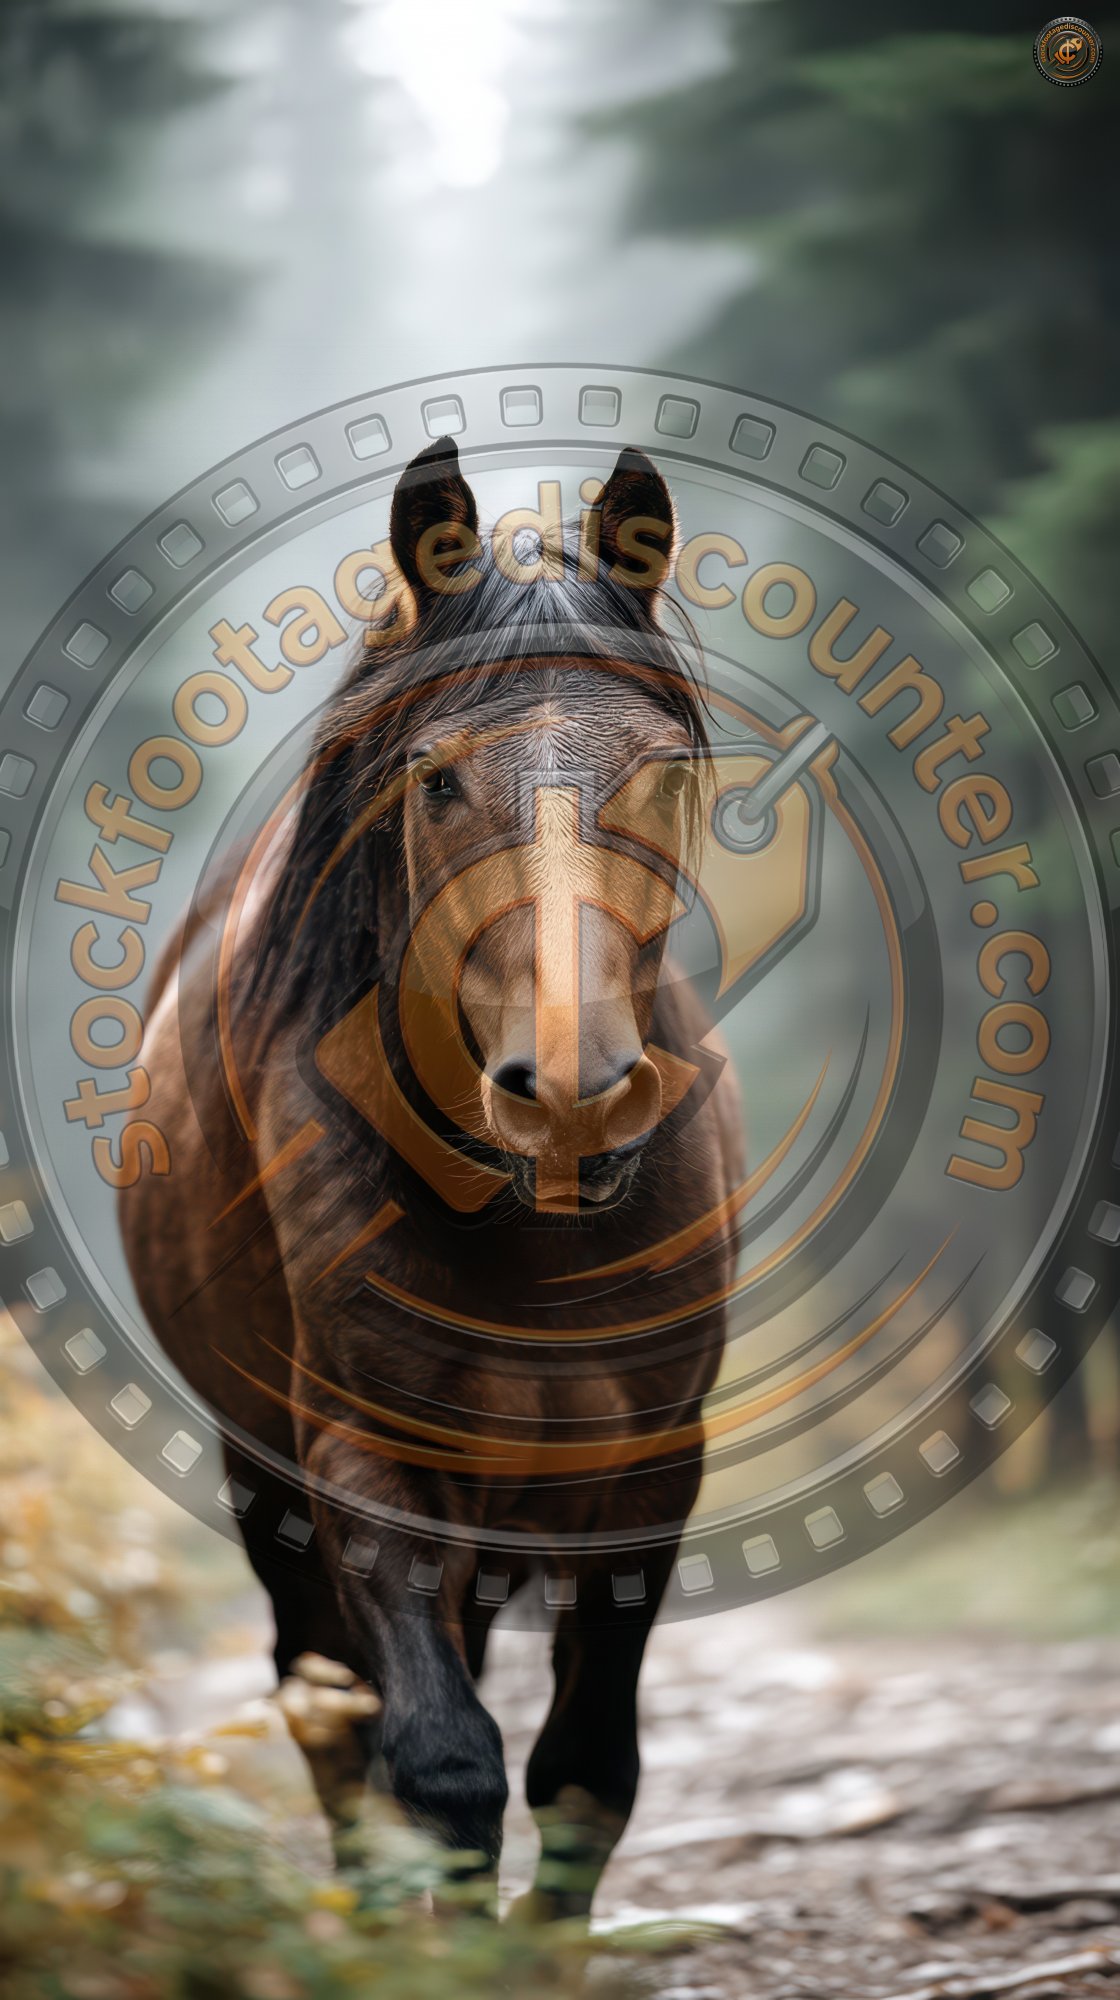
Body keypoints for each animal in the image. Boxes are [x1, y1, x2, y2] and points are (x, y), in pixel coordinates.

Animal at [120, 436, 743, 1917]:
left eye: (663, 772)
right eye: (437, 780)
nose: (574, 1099)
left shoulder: (651, 1468)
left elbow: (586, 1766)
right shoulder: (367, 1459)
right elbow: (442, 1759)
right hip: (268, 1477)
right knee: (326, 1705)